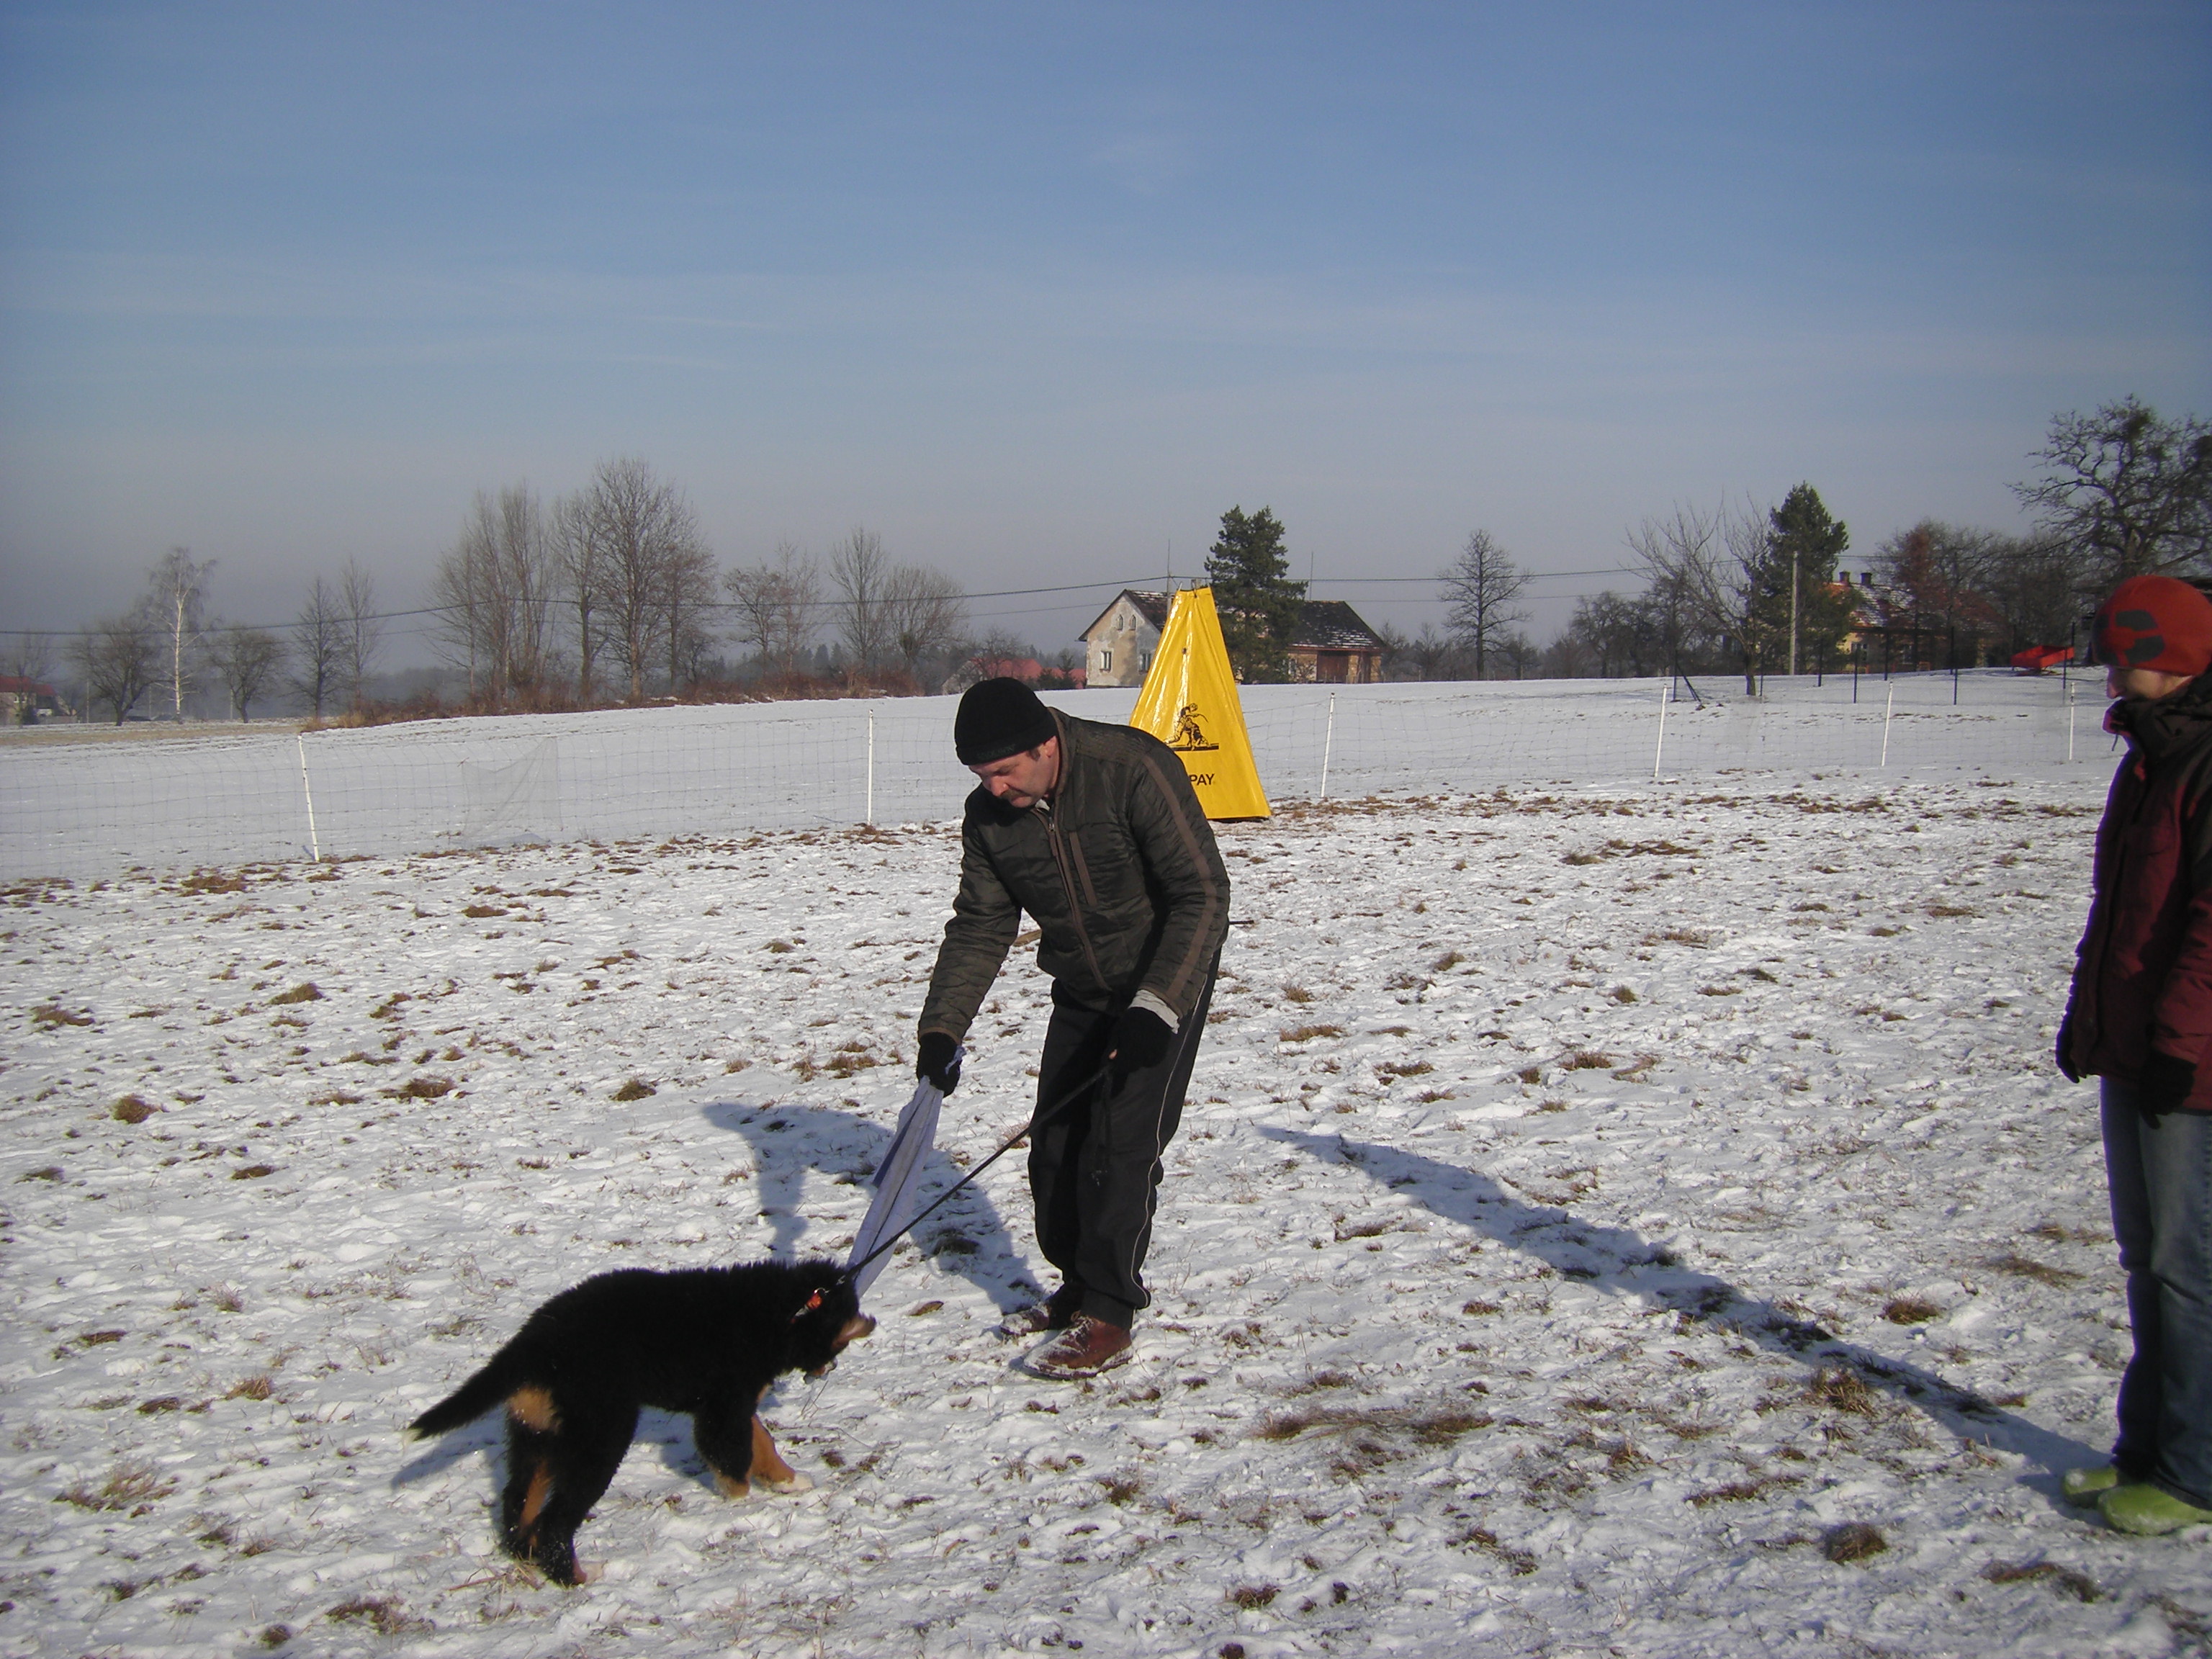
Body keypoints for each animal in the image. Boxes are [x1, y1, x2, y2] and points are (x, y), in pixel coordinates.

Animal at [407, 1265, 871, 1592]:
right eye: (843, 1327)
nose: (872, 1323)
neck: (779, 1314)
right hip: (600, 1437)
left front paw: (787, 1481)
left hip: (538, 1435)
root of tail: (534, 1343)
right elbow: (733, 1454)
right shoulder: (725, 1404)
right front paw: (741, 1500)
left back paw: (528, 1559)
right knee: (555, 1522)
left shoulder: (733, 1403)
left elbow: (762, 1443)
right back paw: (578, 1578)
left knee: (518, 1505)